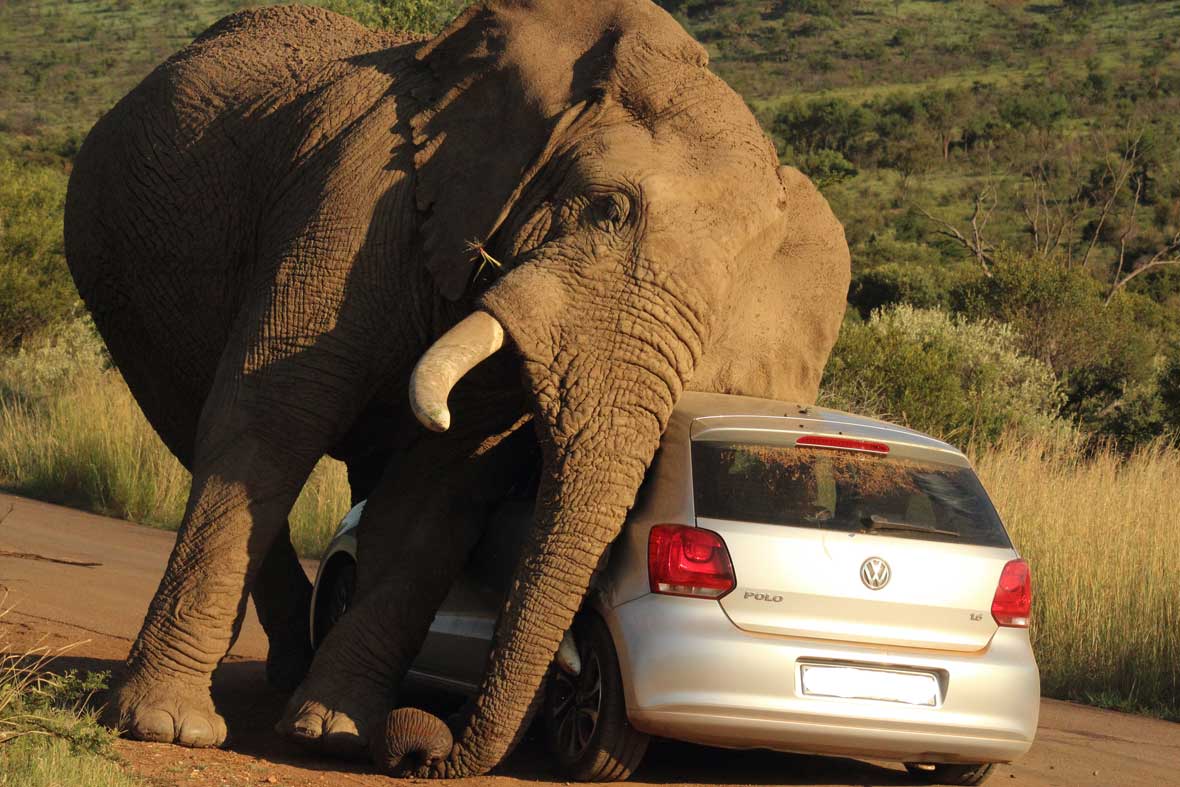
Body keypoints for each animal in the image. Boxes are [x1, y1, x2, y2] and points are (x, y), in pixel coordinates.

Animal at [62, 0, 849, 778]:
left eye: (731, 294)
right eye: (607, 209)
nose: (423, 749)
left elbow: (441, 483)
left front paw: (336, 732)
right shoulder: (359, 200)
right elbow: (275, 413)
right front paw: (167, 728)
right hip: (116, 264)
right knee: (195, 425)